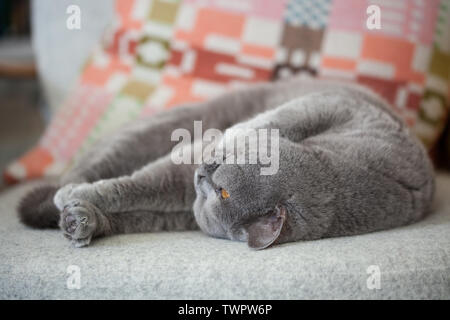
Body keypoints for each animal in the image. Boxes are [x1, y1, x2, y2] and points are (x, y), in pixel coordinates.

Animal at [18, 77, 436, 250]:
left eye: (223, 193)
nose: (204, 172)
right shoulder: (336, 107)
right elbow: (273, 121)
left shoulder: (180, 208)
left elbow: (139, 196)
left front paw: (82, 207)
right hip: (153, 132)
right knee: (83, 169)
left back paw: (78, 220)